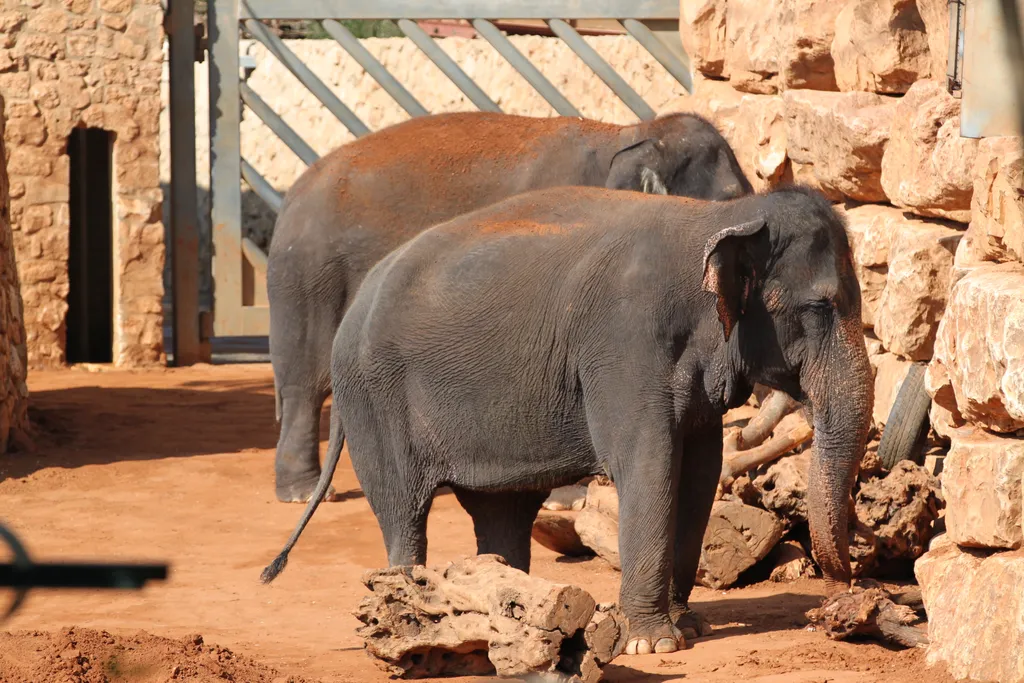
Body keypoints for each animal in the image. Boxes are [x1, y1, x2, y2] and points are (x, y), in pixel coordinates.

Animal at [261, 184, 874, 656]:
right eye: (820, 308)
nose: (843, 591)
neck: (720, 216)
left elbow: (700, 474)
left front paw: (688, 627)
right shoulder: (624, 349)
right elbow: (650, 468)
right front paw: (654, 644)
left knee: (501, 512)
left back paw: (503, 609)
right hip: (375, 399)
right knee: (402, 511)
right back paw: (413, 612)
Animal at [267, 110, 753, 503]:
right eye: (730, 197)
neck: (632, 132)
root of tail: (293, 191)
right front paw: (569, 501)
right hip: (308, 272)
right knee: (305, 379)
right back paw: (303, 492)